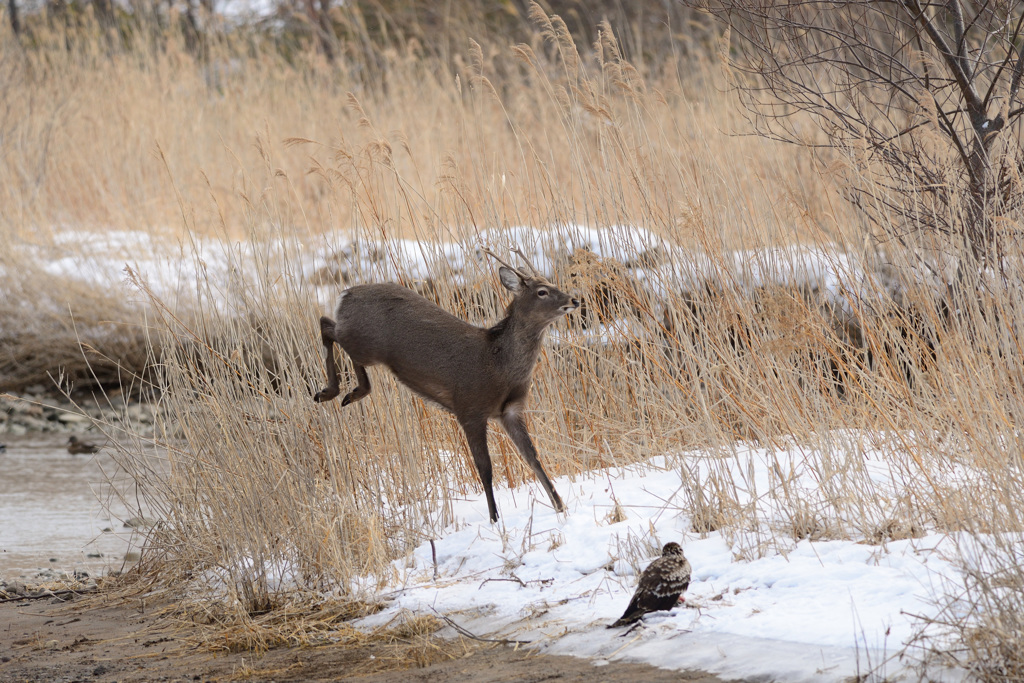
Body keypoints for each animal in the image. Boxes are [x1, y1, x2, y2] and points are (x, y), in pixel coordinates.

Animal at [313, 248, 577, 520]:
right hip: (364, 342)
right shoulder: (470, 408)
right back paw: (330, 392)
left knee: (331, 329)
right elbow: (485, 468)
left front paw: (560, 506)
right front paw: (494, 518)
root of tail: (345, 293)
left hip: (363, 344)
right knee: (326, 325)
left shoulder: (510, 411)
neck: (499, 365)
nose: (574, 300)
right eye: (541, 291)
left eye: (552, 284)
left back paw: (349, 393)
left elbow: (533, 458)